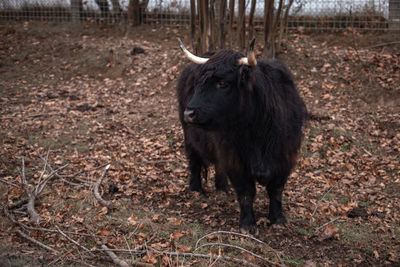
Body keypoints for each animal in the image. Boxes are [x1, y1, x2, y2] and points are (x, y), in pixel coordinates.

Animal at [177, 38, 304, 232]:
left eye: (223, 83)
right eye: (199, 83)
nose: (189, 113)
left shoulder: (285, 157)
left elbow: (276, 190)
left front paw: (278, 219)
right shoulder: (235, 159)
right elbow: (246, 192)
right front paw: (247, 223)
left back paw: (223, 188)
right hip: (190, 137)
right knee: (194, 161)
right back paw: (196, 189)